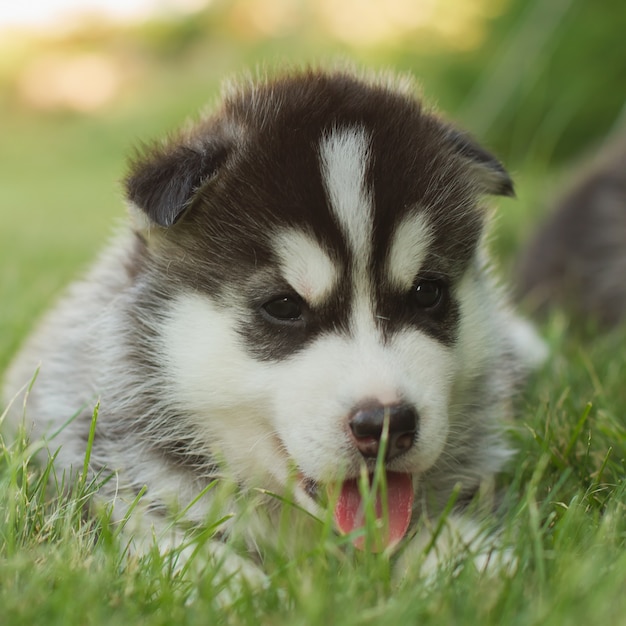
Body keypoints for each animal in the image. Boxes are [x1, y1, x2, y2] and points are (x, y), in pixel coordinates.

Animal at [1, 68, 540, 580]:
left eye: (427, 293)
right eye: (283, 306)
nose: (387, 423)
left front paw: (477, 562)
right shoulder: (85, 470)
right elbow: (144, 528)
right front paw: (227, 580)